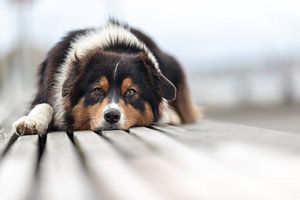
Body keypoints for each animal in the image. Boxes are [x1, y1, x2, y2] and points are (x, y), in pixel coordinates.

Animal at [12, 20, 200, 135]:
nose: (111, 116)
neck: (114, 45)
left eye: (131, 92)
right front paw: (30, 122)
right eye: (97, 90)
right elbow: (44, 105)